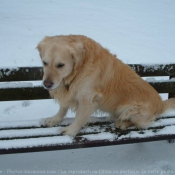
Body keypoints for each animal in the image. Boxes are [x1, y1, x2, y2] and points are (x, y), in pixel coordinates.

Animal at [36, 34, 174, 136]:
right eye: (44, 62)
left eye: (61, 65)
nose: (47, 84)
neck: (79, 69)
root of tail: (160, 104)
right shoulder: (68, 92)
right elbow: (62, 109)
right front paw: (54, 119)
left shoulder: (88, 99)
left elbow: (79, 117)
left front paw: (71, 131)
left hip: (129, 109)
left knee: (139, 123)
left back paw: (122, 123)